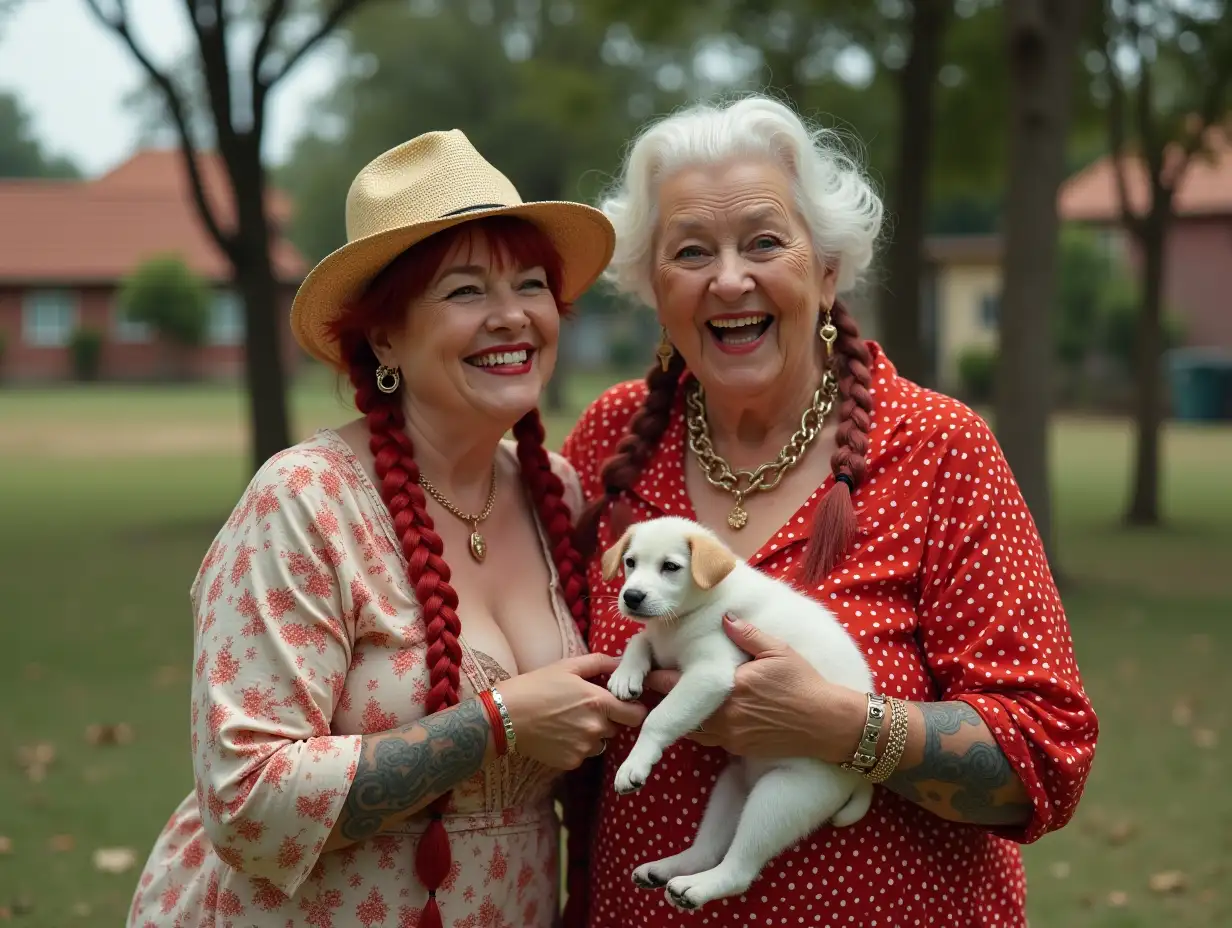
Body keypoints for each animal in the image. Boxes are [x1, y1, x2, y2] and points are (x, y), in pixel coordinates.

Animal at [598, 517, 877, 907]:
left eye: (670, 567)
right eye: (630, 562)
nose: (632, 596)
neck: (685, 616)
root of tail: (858, 777)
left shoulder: (710, 672)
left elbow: (659, 718)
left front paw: (635, 763)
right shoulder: (666, 649)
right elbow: (640, 639)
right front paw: (626, 673)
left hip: (781, 796)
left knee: (740, 869)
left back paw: (698, 887)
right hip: (733, 785)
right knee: (709, 850)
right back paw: (666, 870)